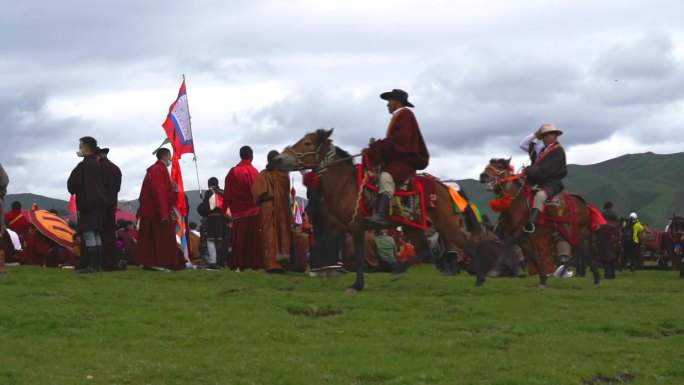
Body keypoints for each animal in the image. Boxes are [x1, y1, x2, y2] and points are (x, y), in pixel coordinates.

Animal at [274, 127, 486, 290]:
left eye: (308, 143)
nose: (278, 159)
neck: (345, 185)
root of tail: (448, 188)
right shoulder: (338, 227)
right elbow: (322, 243)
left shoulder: (357, 227)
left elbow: (358, 256)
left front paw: (357, 285)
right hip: (413, 226)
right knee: (427, 249)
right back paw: (398, 270)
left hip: (446, 226)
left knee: (466, 245)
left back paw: (480, 278)